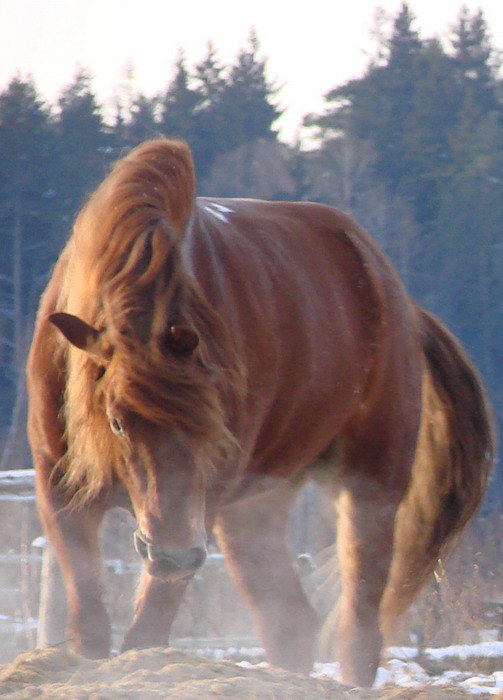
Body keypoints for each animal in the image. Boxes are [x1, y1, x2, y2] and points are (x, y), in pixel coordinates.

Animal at [26, 139, 492, 688]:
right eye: (116, 421)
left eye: (214, 425)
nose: (173, 554)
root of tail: (399, 301)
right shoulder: (61, 495)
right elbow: (89, 628)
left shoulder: (196, 513)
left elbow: (144, 635)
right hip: (254, 506)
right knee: (288, 619)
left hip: (371, 485)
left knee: (357, 624)